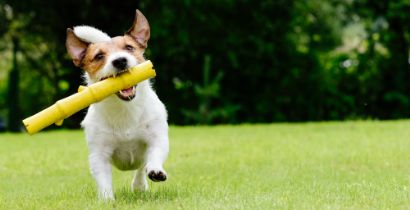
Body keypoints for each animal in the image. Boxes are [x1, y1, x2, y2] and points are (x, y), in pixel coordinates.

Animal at [65, 9, 170, 200]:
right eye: (99, 56)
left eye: (129, 48)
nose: (120, 60)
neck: (124, 109)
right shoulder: (99, 155)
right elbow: (103, 180)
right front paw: (107, 200)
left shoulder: (157, 137)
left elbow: (155, 154)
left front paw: (155, 170)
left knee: (141, 168)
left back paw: (139, 185)